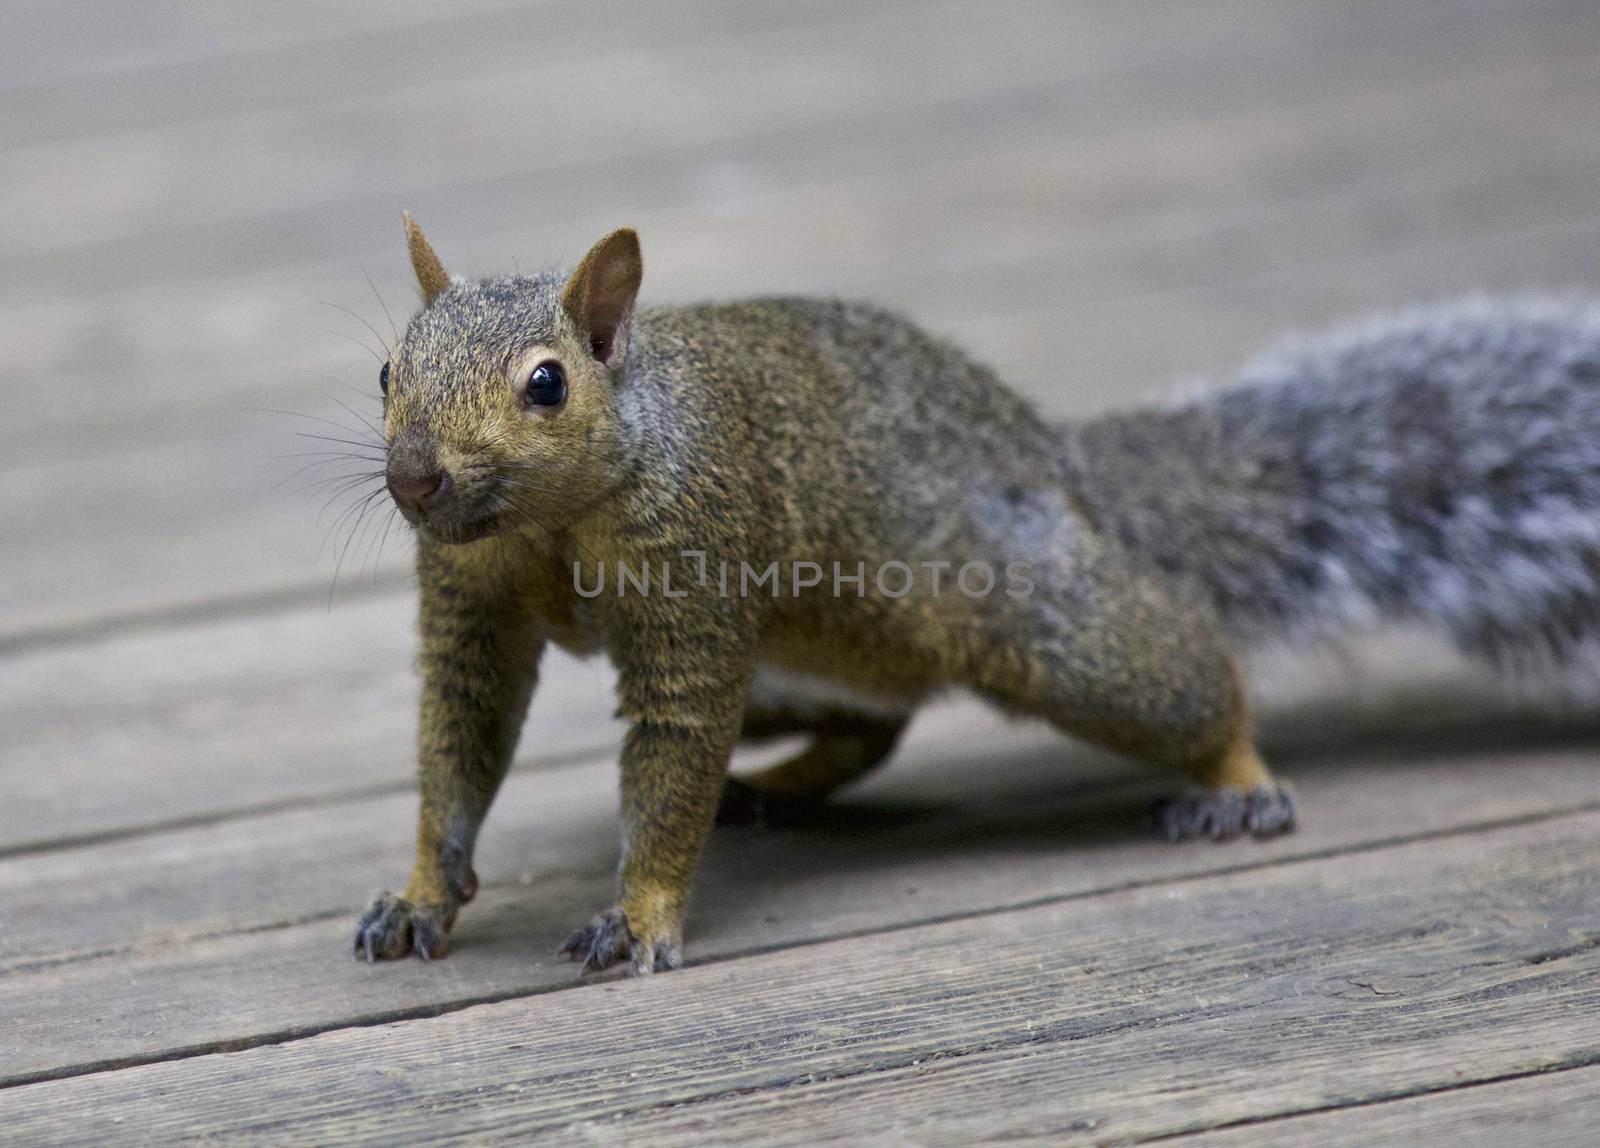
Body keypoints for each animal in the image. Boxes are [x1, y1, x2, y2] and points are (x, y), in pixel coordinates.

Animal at [353, 211, 1600, 978]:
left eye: (547, 384)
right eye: (384, 370)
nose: (414, 477)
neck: (549, 523)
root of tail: (1057, 463)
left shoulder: (695, 576)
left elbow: (671, 760)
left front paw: (640, 911)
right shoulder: (470, 604)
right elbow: (458, 736)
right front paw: (420, 890)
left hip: (1041, 629)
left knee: (1192, 677)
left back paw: (1238, 780)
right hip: (807, 660)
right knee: (873, 724)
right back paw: (782, 784)